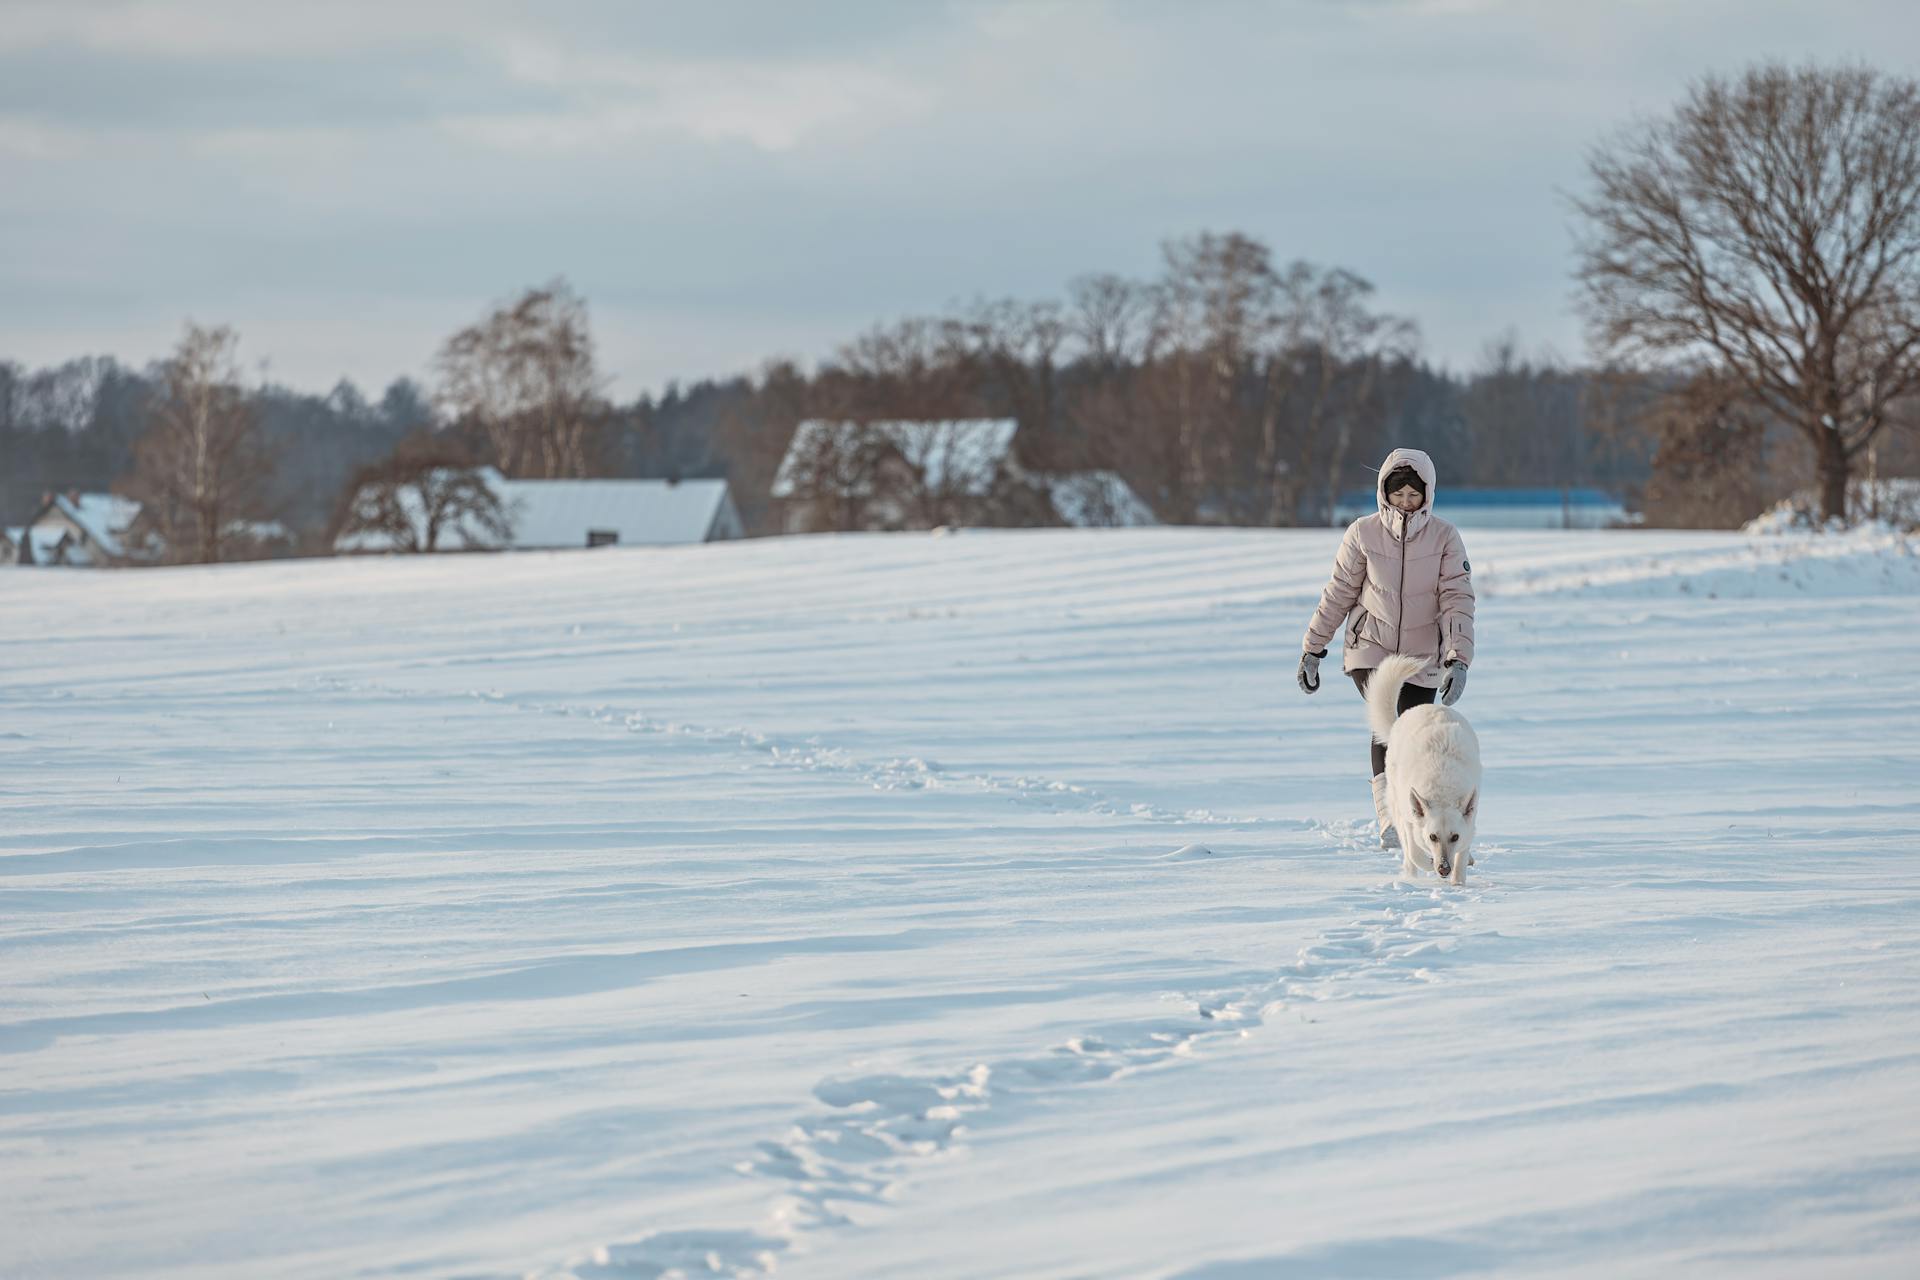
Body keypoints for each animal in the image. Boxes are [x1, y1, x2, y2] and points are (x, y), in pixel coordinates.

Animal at [1359, 660, 1474, 882]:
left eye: (1454, 836)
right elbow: (1414, 852)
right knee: (1408, 851)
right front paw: (1427, 864)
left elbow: (1461, 858)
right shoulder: (1410, 819)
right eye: (1433, 836)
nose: (1443, 868)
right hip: (1397, 804)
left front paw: (1458, 883)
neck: (1442, 787)